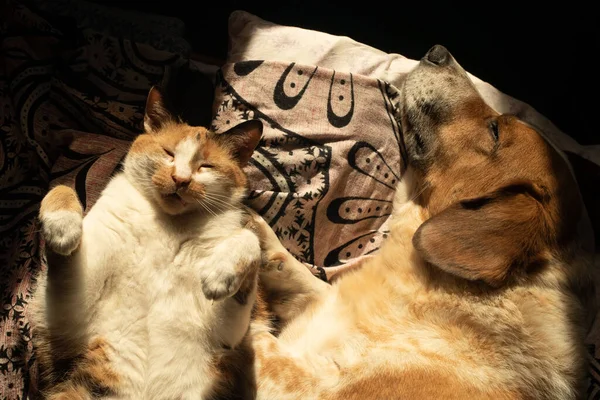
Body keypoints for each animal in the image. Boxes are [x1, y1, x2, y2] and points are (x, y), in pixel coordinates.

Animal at [29, 87, 264, 400]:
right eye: (168, 153)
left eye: (206, 166)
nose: (180, 179)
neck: (168, 226)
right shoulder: (68, 312)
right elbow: (63, 188)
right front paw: (61, 224)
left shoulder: (226, 337)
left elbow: (250, 239)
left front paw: (220, 273)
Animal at [244, 44, 596, 400]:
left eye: (495, 129)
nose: (438, 51)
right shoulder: (326, 303)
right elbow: (300, 273)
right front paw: (256, 230)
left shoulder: (308, 384)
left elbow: (252, 338)